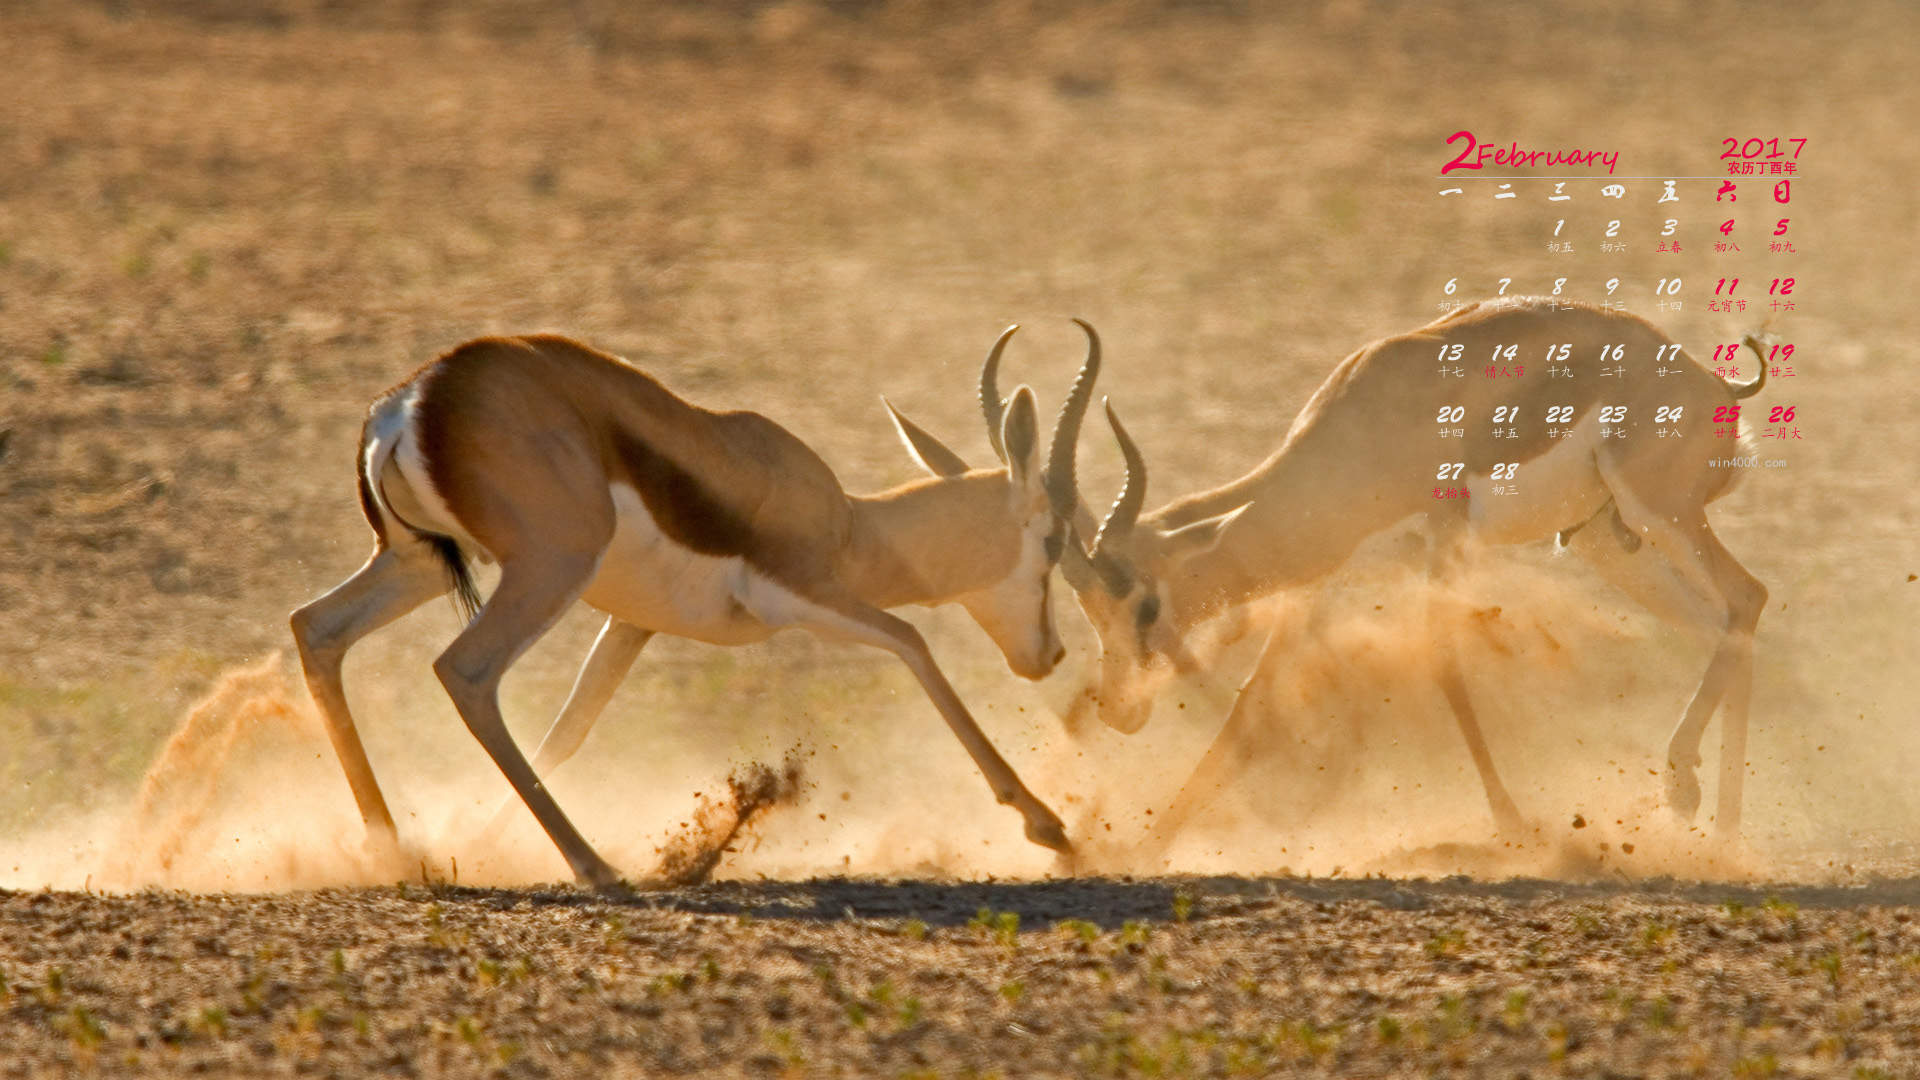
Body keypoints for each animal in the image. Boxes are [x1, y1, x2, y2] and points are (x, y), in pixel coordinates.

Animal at [290, 321, 1103, 890]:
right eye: (1055, 539)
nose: (1050, 654)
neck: (848, 525)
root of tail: (412, 401)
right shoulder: (804, 593)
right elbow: (913, 642)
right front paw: (1049, 827)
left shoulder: (633, 623)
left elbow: (569, 730)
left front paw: (482, 844)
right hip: (548, 568)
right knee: (465, 671)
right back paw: (596, 867)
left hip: (416, 564)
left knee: (317, 629)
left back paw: (392, 850)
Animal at [1056, 296, 1771, 856]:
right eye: (1090, 611)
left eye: (1145, 606)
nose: (1117, 709)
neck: (1362, 427)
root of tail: (1714, 385)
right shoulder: (1321, 580)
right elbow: (1251, 698)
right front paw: (1148, 844)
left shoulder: (1442, 544)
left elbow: (1445, 665)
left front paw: (1516, 829)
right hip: (1609, 542)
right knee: (1724, 623)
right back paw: (1722, 833)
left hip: (1661, 513)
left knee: (1748, 596)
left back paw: (1692, 804)